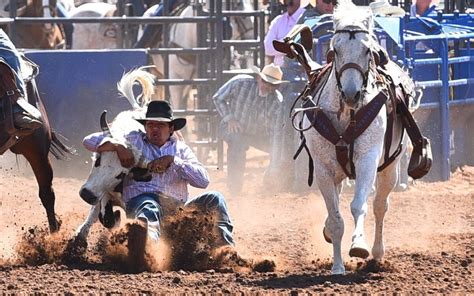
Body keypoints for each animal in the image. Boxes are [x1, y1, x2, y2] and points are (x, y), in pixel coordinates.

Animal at [296, 0, 414, 276]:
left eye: (367, 50)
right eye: (335, 50)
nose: (351, 94)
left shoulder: (367, 160)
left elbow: (359, 205)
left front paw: (359, 245)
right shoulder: (323, 169)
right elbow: (336, 218)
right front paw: (337, 266)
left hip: (389, 168)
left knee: (380, 205)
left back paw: (377, 253)